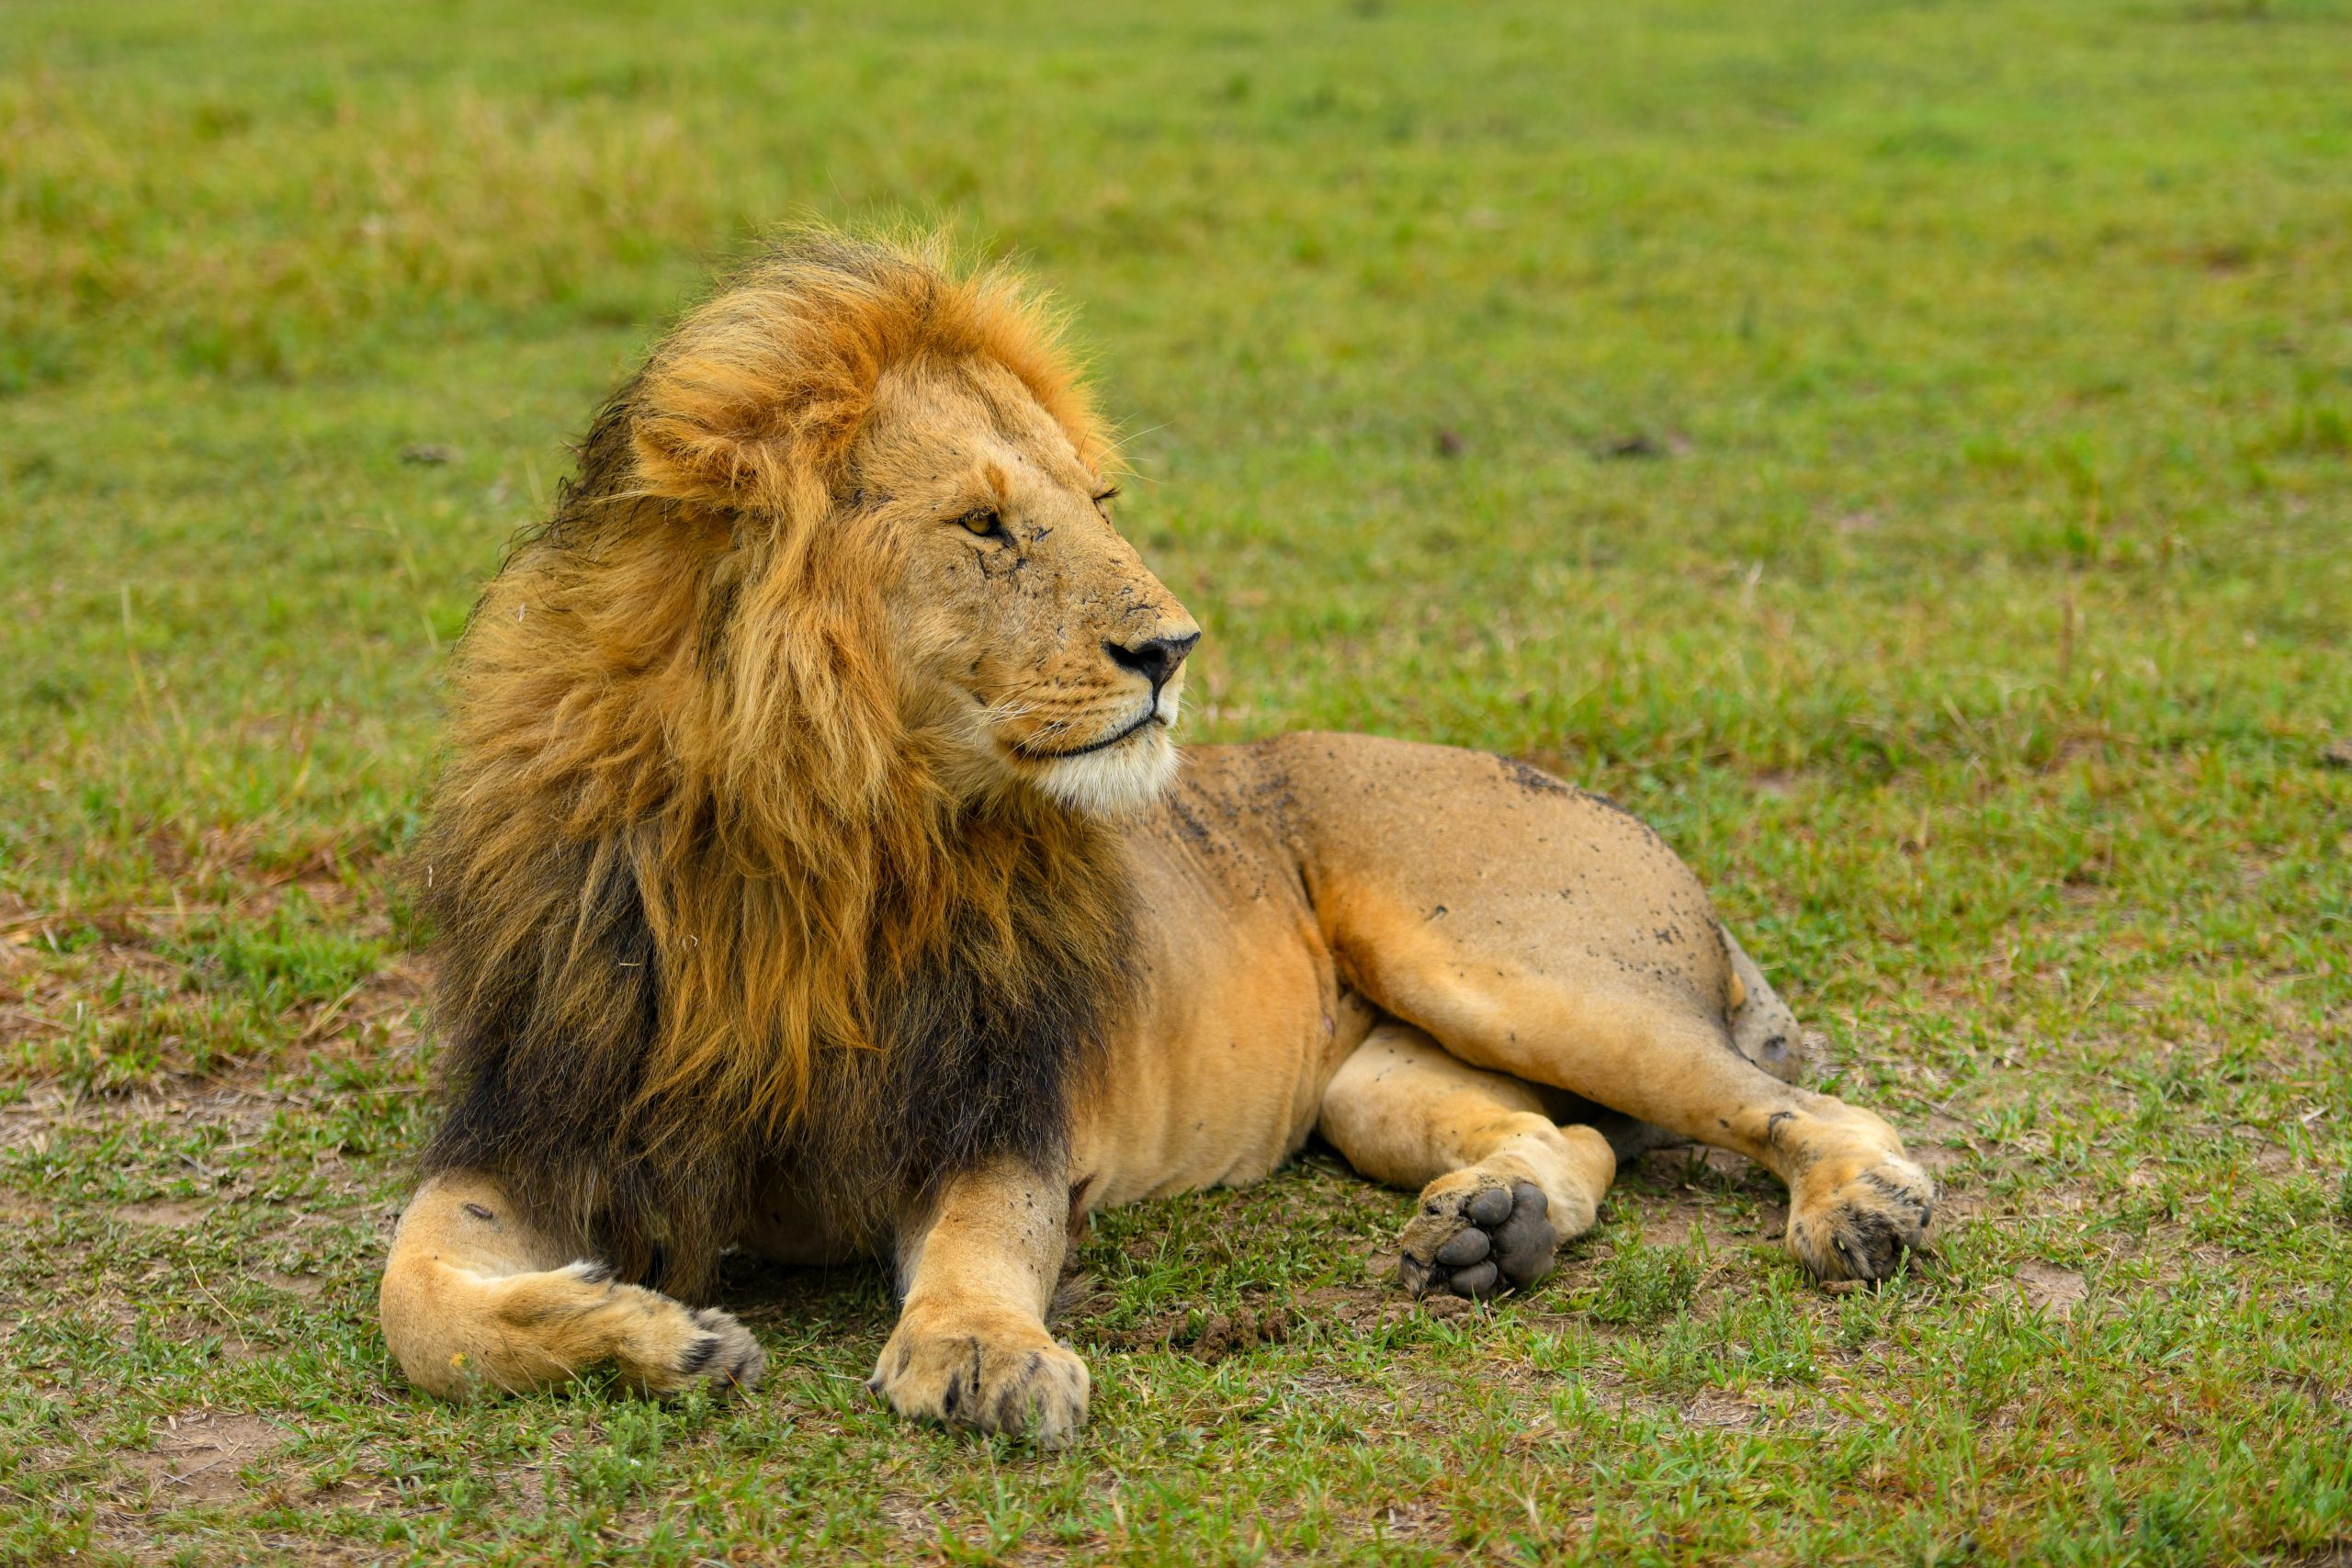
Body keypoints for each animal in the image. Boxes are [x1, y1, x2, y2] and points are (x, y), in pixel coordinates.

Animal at [379, 231, 1933, 1444]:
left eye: (1095, 503)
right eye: (987, 524)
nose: (1172, 646)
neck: (819, 840)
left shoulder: (1000, 1109)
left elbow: (978, 1243)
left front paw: (981, 1353)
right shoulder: (540, 1119)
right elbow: (413, 1295)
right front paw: (651, 1331)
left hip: (1520, 972)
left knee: (1805, 1105)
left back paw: (1857, 1208)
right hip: (1373, 1084)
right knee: (1567, 1134)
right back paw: (1497, 1224)